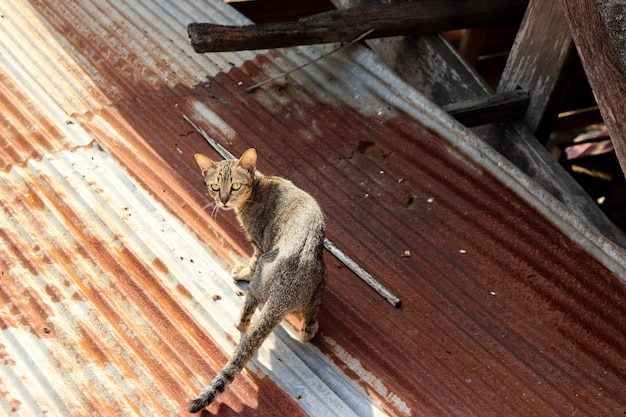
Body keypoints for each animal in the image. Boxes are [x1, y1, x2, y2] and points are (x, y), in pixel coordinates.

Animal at [189, 148, 326, 412]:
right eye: (214, 187)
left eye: (235, 186)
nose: (223, 200)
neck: (258, 187)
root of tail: (285, 293)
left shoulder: (259, 246)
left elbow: (251, 265)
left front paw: (242, 272)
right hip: (319, 285)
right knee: (307, 328)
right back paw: (310, 329)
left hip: (262, 274)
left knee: (246, 319)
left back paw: (240, 321)